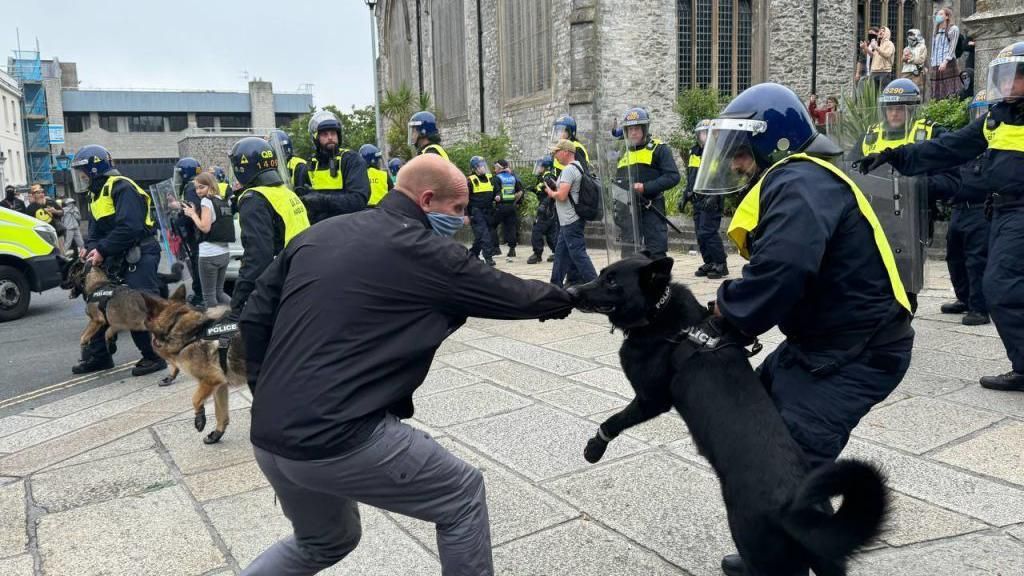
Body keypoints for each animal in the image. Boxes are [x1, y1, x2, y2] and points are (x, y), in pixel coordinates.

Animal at [569, 254, 888, 573]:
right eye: (601, 274)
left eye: (612, 281)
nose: (571, 292)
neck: (663, 314)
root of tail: (801, 510)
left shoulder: (651, 400)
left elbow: (614, 420)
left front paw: (594, 448)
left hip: (758, 548)